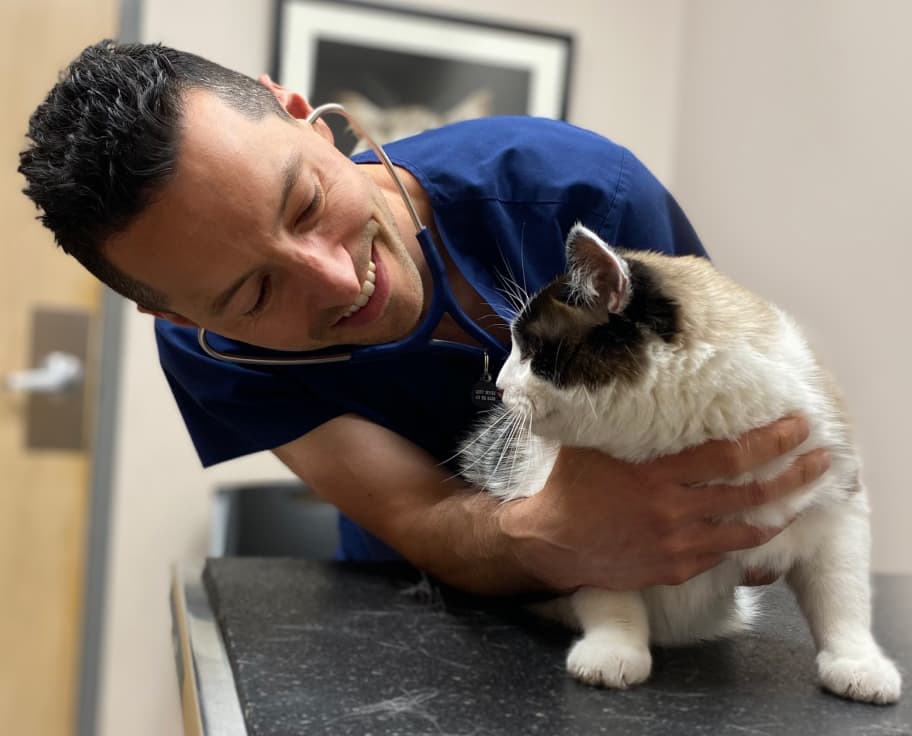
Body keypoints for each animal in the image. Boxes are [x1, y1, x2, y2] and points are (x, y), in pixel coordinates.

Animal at [460, 226, 900, 708]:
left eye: (532, 348)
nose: (500, 386)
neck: (686, 433)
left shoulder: (838, 498)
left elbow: (843, 592)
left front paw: (858, 661)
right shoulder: (587, 529)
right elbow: (607, 590)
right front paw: (613, 648)